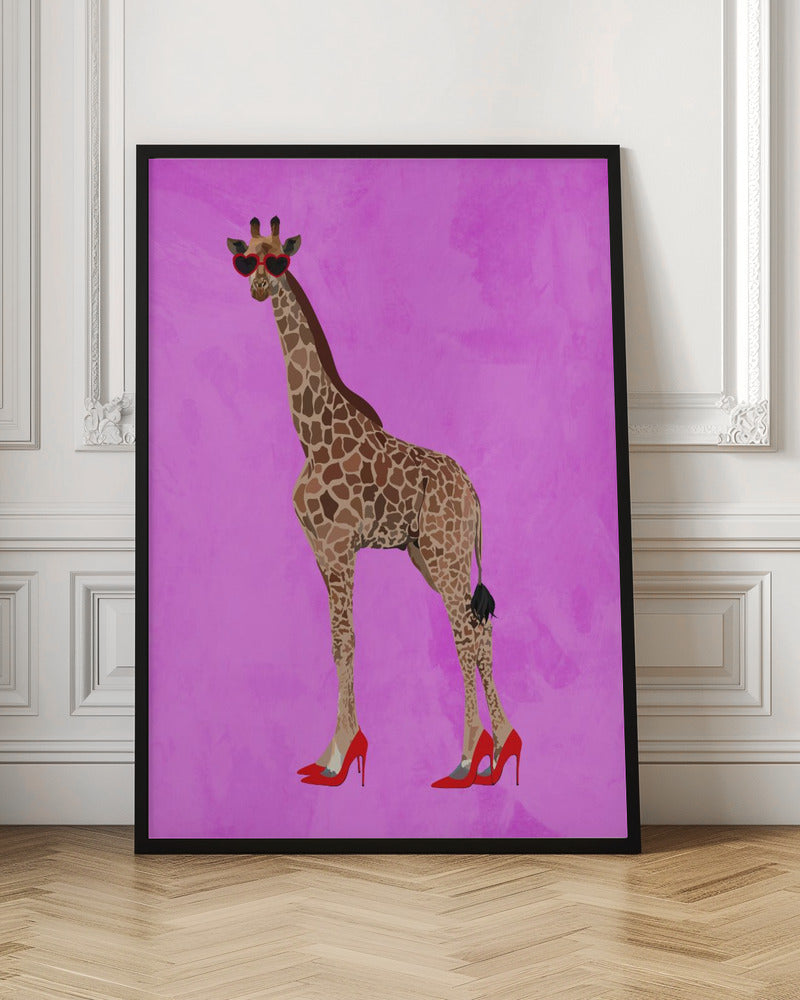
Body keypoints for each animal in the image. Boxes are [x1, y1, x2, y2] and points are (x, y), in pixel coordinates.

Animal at [226, 215, 521, 788]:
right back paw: (498, 750)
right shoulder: (321, 550)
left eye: (280, 260)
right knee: (479, 630)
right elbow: (336, 642)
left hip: (448, 556)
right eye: (245, 259)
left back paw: (468, 757)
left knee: (465, 635)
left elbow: (347, 640)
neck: (311, 437)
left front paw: (341, 755)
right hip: (428, 556)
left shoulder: (342, 545)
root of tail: (475, 493)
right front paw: (329, 751)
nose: (258, 287)